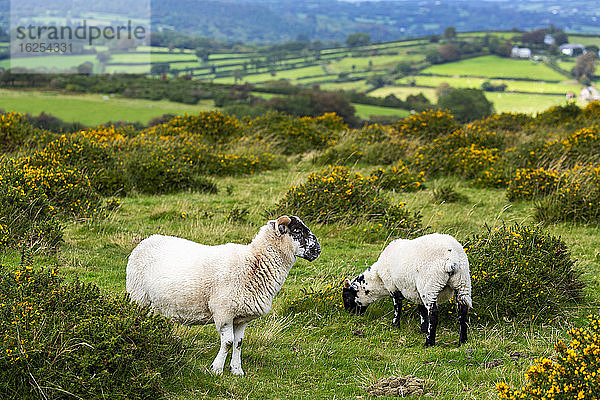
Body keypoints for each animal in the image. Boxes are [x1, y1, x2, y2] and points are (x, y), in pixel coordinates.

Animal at [126, 216, 322, 376]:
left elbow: (238, 343)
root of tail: (146, 241)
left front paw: (236, 370)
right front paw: (217, 369)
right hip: (138, 298)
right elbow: (228, 342)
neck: (254, 263)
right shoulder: (224, 312)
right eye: (297, 231)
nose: (318, 250)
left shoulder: (241, 317)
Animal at [344, 233, 472, 346]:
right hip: (462, 282)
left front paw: (395, 325)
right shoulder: (417, 292)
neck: (378, 279)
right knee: (462, 311)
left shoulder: (393, 287)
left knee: (433, 314)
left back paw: (429, 342)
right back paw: (463, 341)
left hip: (430, 285)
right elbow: (422, 311)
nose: (349, 315)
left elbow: (397, 307)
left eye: (347, 298)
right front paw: (423, 329)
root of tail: (452, 259)